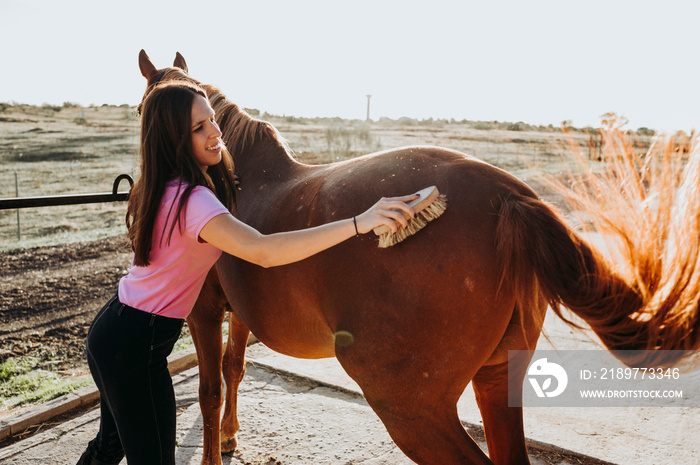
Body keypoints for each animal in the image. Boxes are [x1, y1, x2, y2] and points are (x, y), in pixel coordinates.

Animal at [138, 49, 700, 462]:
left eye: (143, 108)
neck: (234, 178)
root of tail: (505, 193)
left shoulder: (204, 308)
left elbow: (210, 388)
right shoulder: (237, 310)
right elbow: (234, 369)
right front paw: (230, 436)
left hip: (411, 409)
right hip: (497, 379)